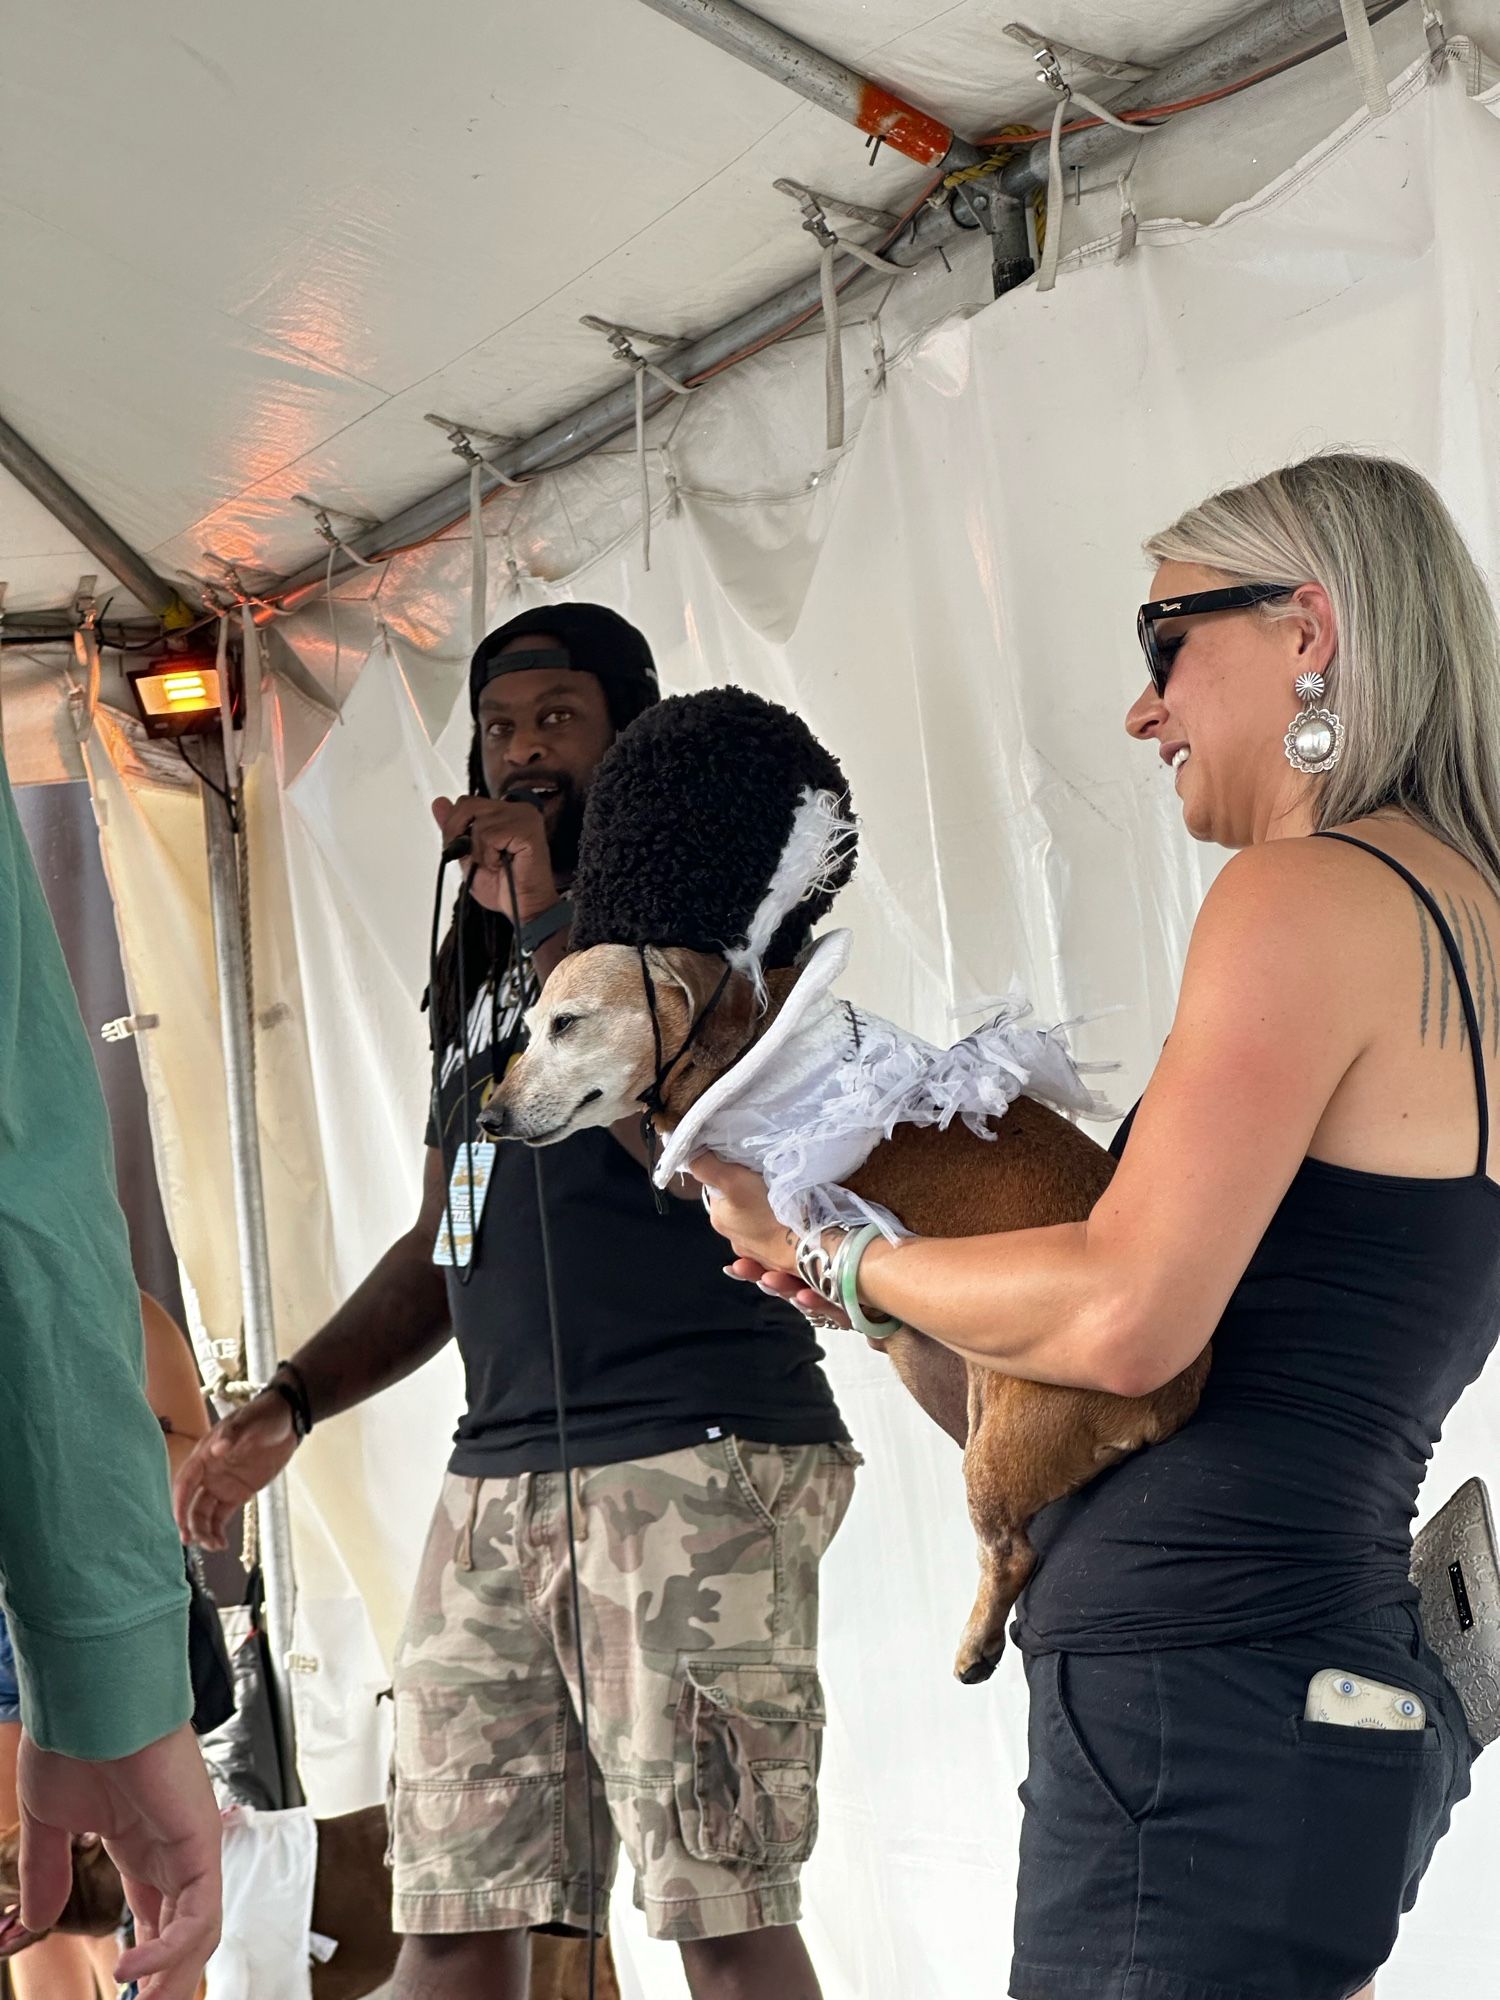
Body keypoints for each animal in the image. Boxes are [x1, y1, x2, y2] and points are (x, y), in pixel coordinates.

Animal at [488, 944, 1216, 1680]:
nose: (490, 1119)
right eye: (528, 1028)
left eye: (567, 1024)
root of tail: (1170, 1401)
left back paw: (975, 1646)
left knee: (1012, 1551)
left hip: (995, 1453)